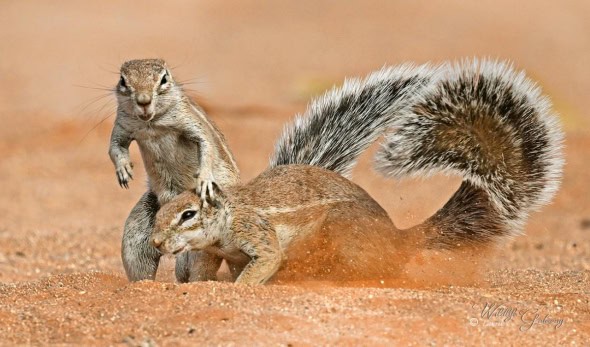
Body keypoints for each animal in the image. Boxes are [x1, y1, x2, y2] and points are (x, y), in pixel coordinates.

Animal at [108, 59, 240, 282]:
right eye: (123, 80)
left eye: (164, 79)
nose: (144, 100)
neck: (151, 124)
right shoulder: (122, 125)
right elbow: (115, 147)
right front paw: (123, 170)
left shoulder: (190, 120)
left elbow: (206, 143)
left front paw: (204, 179)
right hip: (138, 233)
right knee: (139, 260)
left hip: (201, 240)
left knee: (196, 268)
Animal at [148, 59, 564, 286]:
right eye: (160, 213)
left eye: (188, 214)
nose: (155, 243)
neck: (229, 215)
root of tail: (399, 239)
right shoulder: (223, 252)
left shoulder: (258, 234)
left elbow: (264, 261)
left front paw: (240, 288)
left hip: (341, 232)